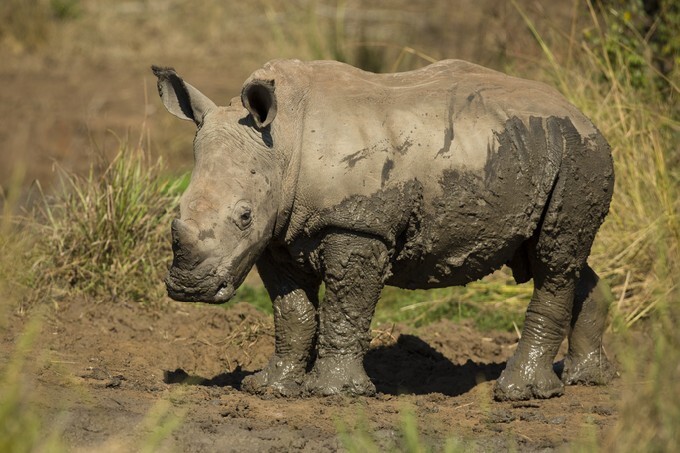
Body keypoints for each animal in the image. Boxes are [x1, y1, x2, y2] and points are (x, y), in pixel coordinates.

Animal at [152, 59, 615, 401]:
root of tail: (585, 115)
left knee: (554, 259)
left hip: (578, 154)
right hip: (538, 148)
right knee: (558, 258)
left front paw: (333, 393)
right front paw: (269, 389)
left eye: (244, 216)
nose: (189, 288)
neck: (281, 142)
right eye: (178, 209)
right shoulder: (277, 234)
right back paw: (587, 379)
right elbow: (292, 312)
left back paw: (520, 393)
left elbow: (346, 307)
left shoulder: (359, 225)